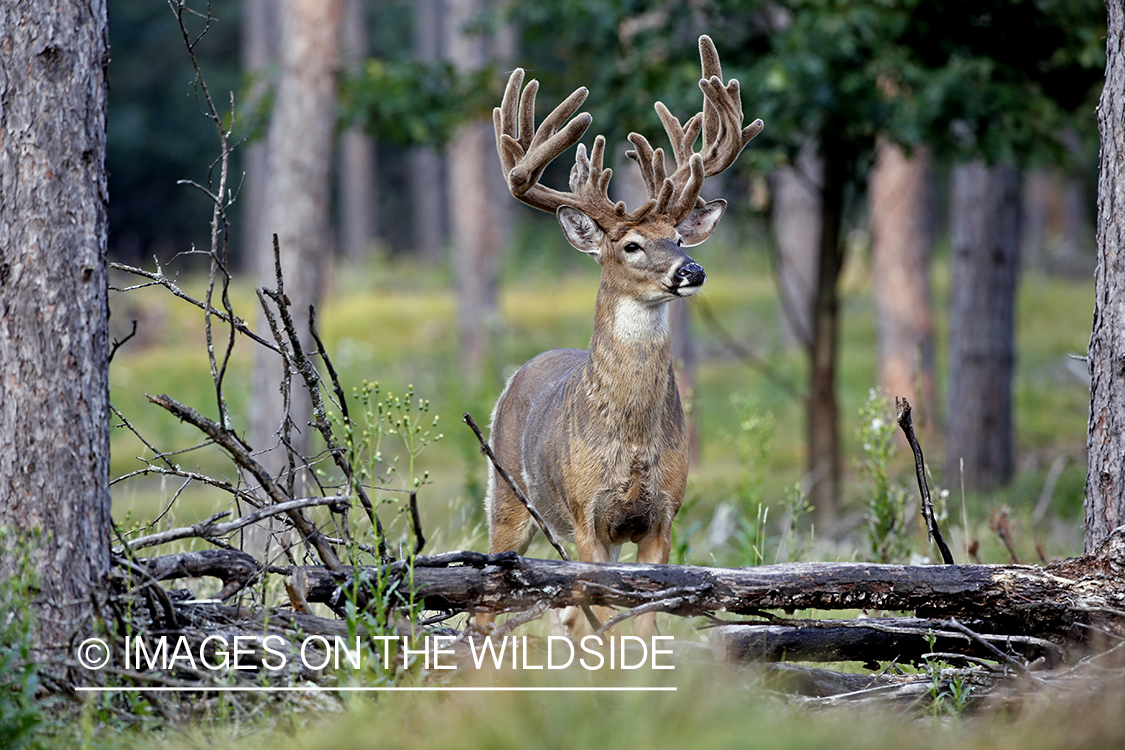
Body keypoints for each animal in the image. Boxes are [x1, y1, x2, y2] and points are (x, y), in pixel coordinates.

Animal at [479, 32, 760, 638]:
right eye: (631, 244)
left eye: (678, 235)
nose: (692, 270)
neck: (630, 440)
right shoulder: (590, 518)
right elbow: (606, 618)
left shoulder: (664, 515)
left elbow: (644, 622)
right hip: (507, 499)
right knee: (492, 602)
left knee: (565, 615)